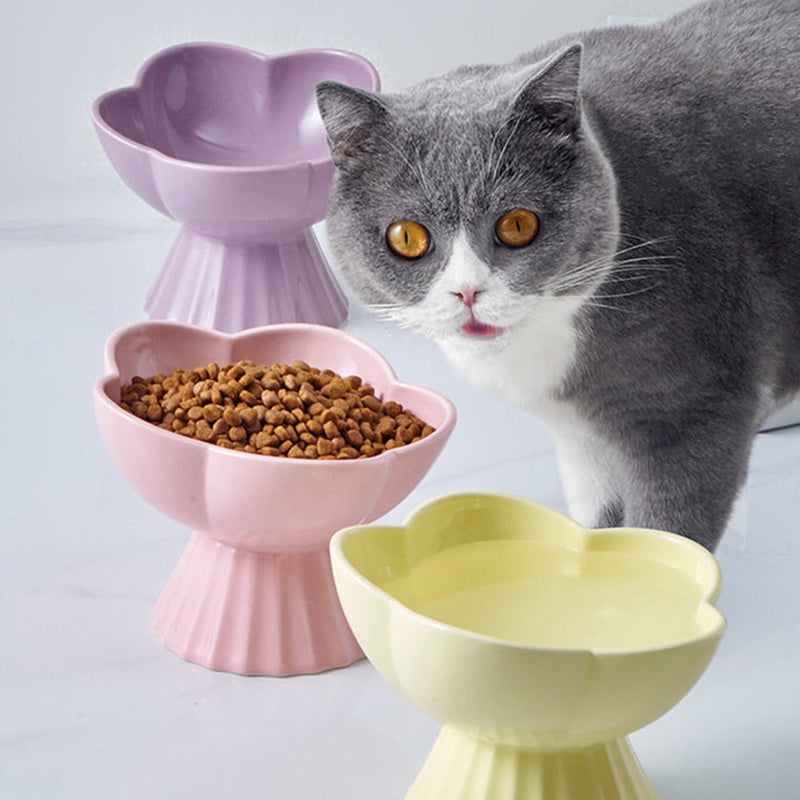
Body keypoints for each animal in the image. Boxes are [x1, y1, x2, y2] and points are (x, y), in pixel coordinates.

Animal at [318, 0, 800, 552]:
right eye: (406, 237)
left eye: (517, 225)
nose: (468, 290)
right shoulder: (581, 440)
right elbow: (599, 524)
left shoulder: (700, 406)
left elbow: (666, 534)